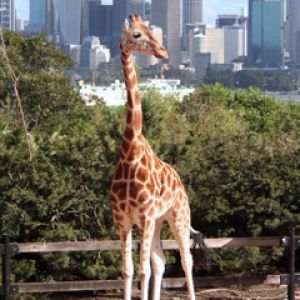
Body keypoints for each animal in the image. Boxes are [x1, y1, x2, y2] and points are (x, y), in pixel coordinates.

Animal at [110, 14, 199, 300]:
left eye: (151, 30)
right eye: (137, 34)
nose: (163, 51)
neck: (130, 151)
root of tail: (180, 182)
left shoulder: (146, 216)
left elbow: (142, 271)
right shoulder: (123, 220)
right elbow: (128, 270)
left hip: (178, 215)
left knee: (186, 259)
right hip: (160, 220)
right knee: (160, 260)